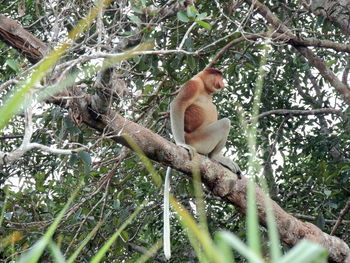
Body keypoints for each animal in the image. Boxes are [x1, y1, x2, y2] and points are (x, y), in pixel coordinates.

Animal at [163, 67, 241, 260]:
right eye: (217, 75)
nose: (223, 82)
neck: (205, 88)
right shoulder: (192, 85)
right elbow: (177, 105)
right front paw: (181, 145)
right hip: (200, 139)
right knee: (225, 123)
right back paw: (213, 156)